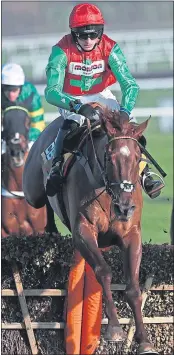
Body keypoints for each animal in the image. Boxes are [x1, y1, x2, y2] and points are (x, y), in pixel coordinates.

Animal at [23, 106, 159, 355]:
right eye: (109, 156)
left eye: (138, 158)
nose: (125, 207)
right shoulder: (83, 232)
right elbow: (103, 271)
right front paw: (114, 329)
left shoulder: (132, 235)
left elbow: (133, 287)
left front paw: (145, 341)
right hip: (32, 191)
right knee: (41, 198)